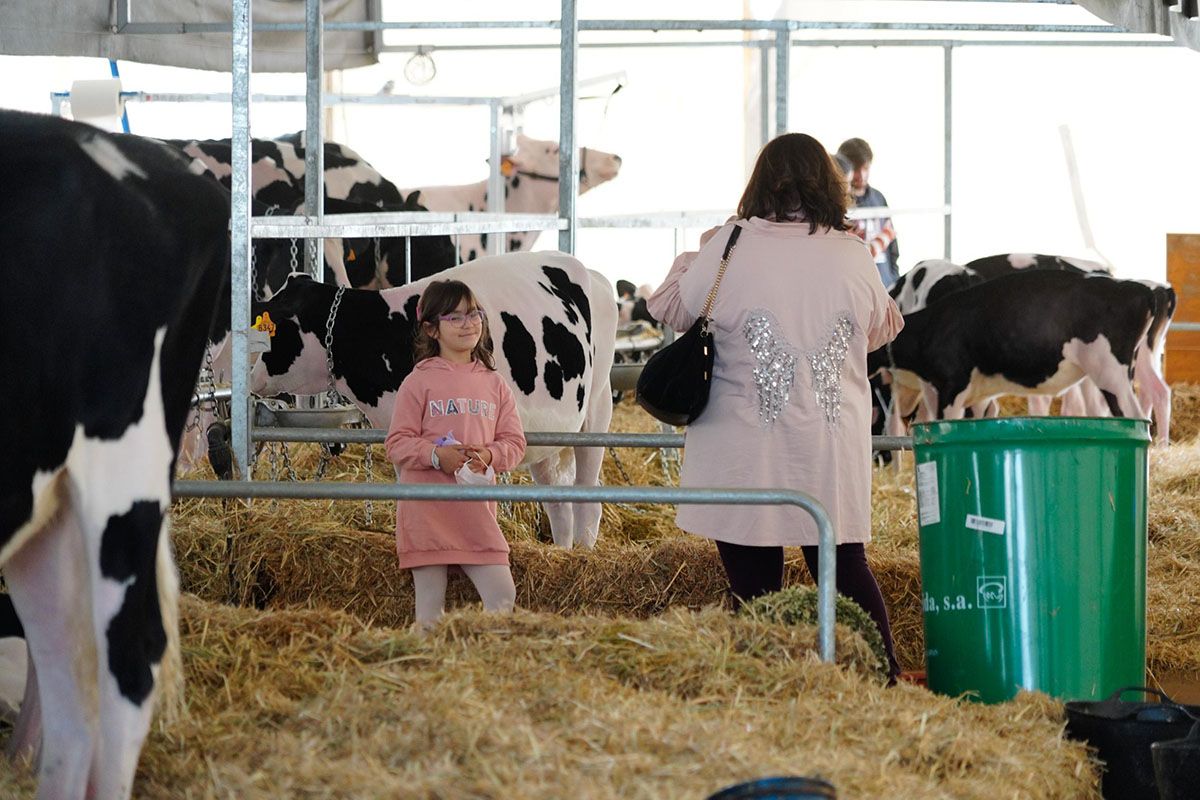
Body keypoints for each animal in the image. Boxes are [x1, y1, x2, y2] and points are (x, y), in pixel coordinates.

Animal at [246, 256, 619, 551]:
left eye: (273, 329)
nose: (251, 377)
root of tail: (593, 274)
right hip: (551, 436)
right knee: (559, 502)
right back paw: (563, 552)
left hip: (597, 407)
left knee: (588, 500)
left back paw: (584, 553)